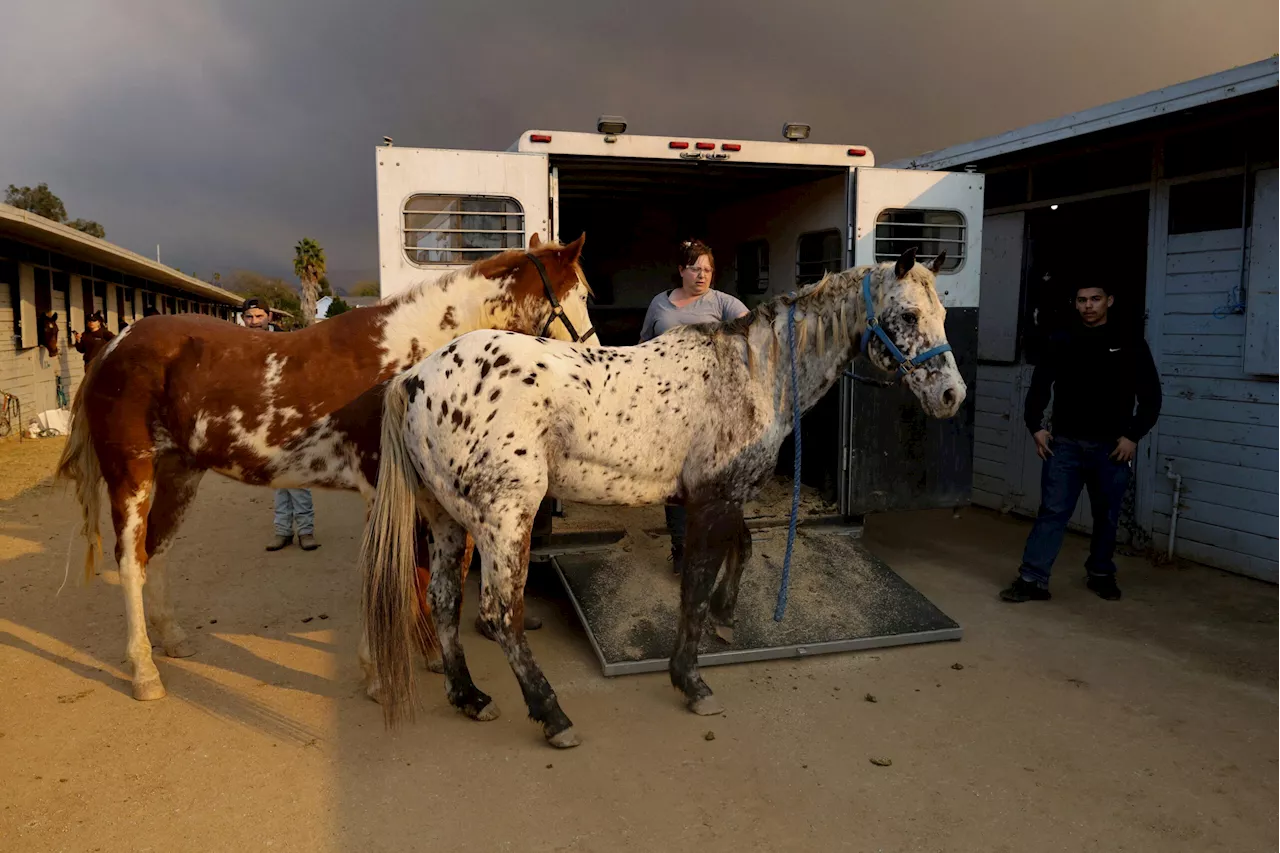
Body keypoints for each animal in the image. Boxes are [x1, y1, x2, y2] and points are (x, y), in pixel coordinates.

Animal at [57, 233, 596, 696]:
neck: (408, 361)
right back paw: (144, 671)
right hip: (131, 474)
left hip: (179, 472)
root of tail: (115, 345)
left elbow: (416, 573)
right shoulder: (383, 490)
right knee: (130, 560)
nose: (593, 353)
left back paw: (172, 638)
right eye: (583, 294)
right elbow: (388, 573)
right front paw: (378, 674)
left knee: (158, 550)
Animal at [360, 244, 962, 742]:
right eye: (909, 316)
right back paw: (553, 716)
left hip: (445, 518)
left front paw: (725, 615)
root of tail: (415, 378)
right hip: (505, 520)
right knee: (500, 612)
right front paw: (691, 681)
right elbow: (692, 588)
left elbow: (741, 551)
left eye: (944, 314)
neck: (751, 374)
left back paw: (469, 697)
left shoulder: (720, 494)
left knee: (444, 600)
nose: (951, 396)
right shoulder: (710, 501)